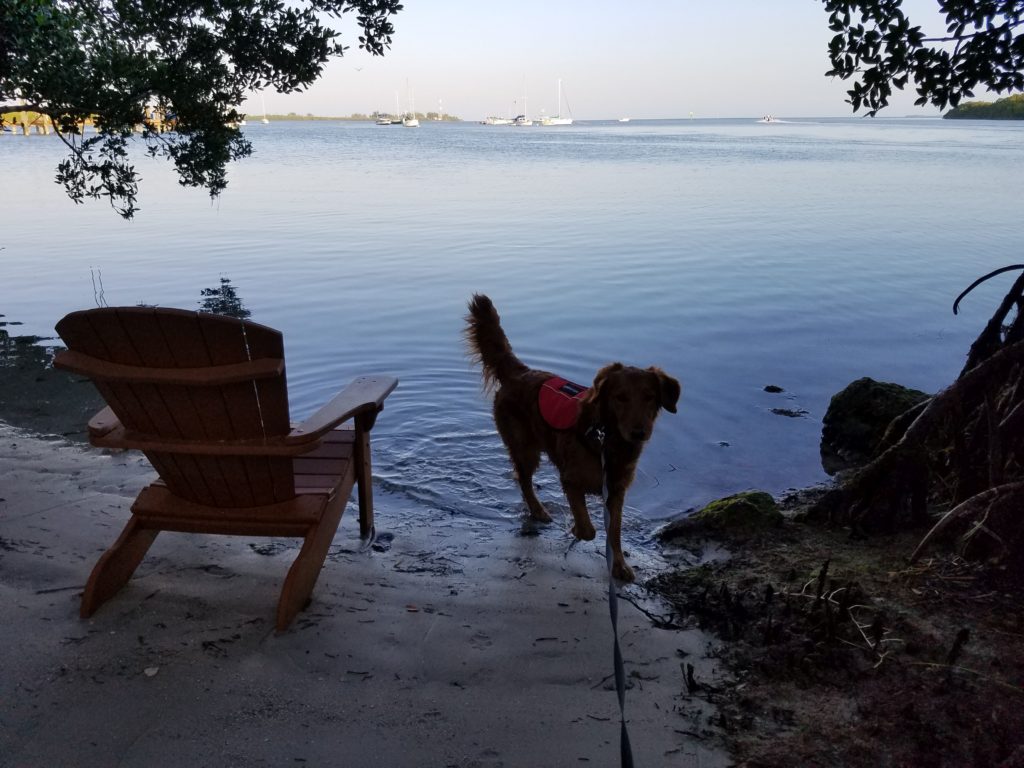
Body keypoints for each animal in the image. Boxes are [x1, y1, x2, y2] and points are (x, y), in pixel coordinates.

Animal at [466, 294, 679, 581]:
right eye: (620, 397)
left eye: (650, 397)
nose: (639, 432)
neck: (607, 440)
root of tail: (520, 371)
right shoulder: (571, 480)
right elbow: (589, 529)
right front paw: (577, 529)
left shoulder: (616, 489)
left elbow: (615, 532)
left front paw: (619, 565)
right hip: (524, 448)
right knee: (523, 479)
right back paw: (538, 510)